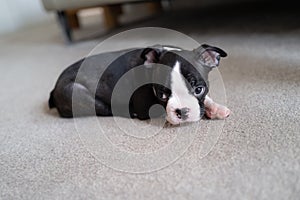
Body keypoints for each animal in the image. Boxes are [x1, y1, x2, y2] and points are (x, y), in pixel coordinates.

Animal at [48, 44, 230, 124]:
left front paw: (216, 108)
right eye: (162, 95)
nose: (182, 111)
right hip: (76, 92)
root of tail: (54, 88)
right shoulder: (147, 107)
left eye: (199, 89)